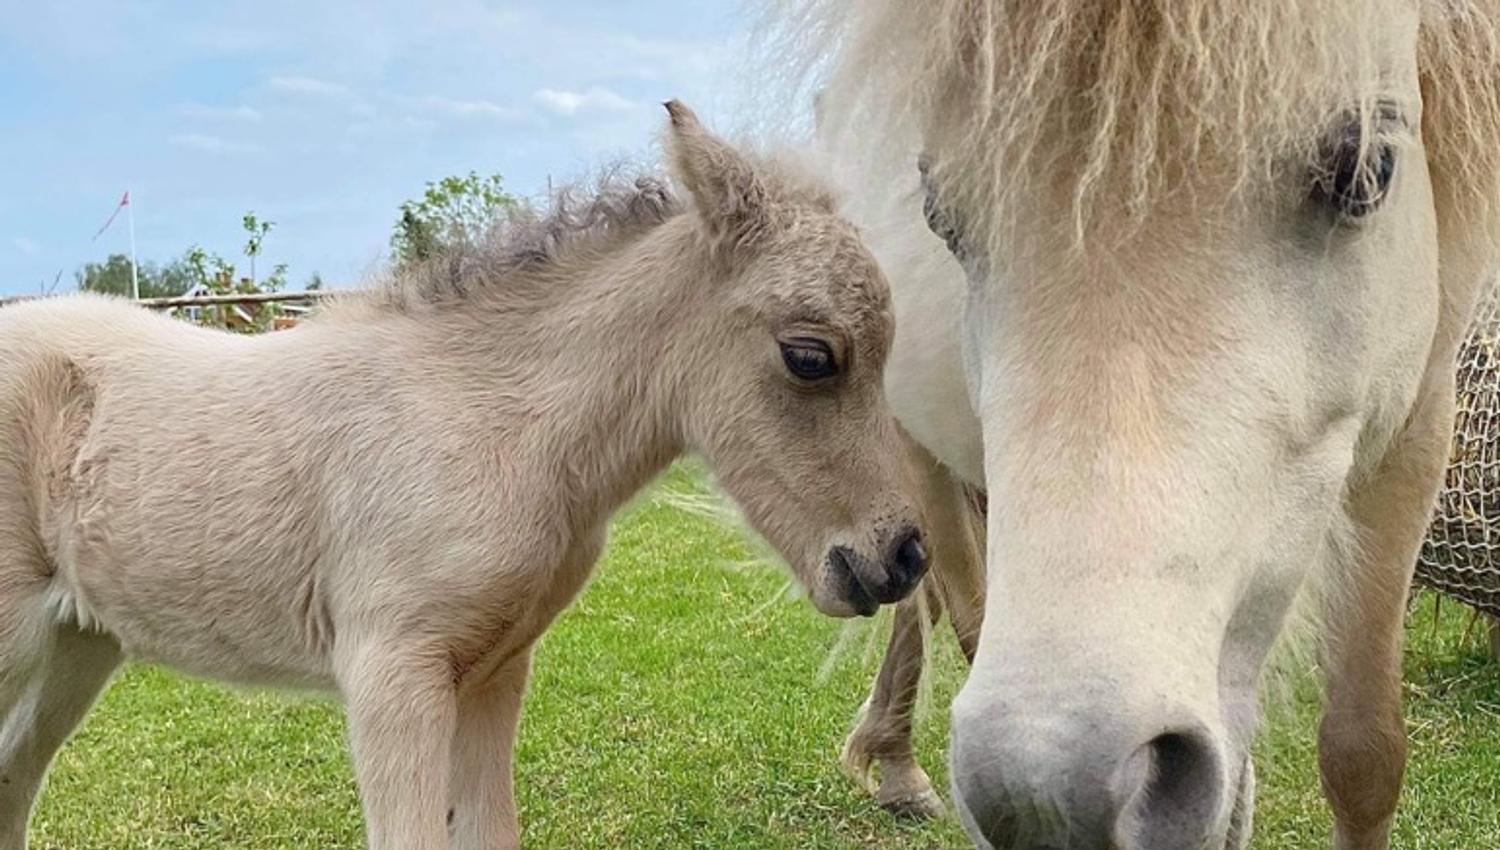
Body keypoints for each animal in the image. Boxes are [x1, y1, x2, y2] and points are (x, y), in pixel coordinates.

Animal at [0, 102, 932, 850]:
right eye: (810, 356)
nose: (904, 557)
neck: (493, 424)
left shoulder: (491, 673)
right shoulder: (392, 674)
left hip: (78, 645)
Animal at [768, 1, 1500, 848]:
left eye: (1368, 171)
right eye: (939, 216)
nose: (1049, 797)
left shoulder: (1411, 442)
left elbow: (1363, 752)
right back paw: (896, 765)